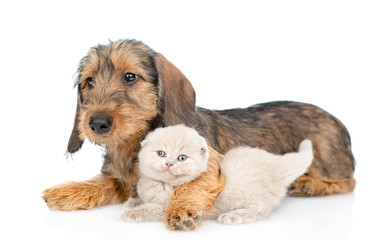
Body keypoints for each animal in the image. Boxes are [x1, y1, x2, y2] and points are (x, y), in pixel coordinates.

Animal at [121, 124, 314, 224]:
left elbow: (151, 208)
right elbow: (144, 200)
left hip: (246, 195)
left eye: (182, 158)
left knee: (260, 209)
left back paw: (232, 216)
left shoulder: (180, 206)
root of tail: (275, 164)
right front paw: (132, 202)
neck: (164, 184)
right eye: (161, 153)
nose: (169, 163)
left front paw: (131, 213)